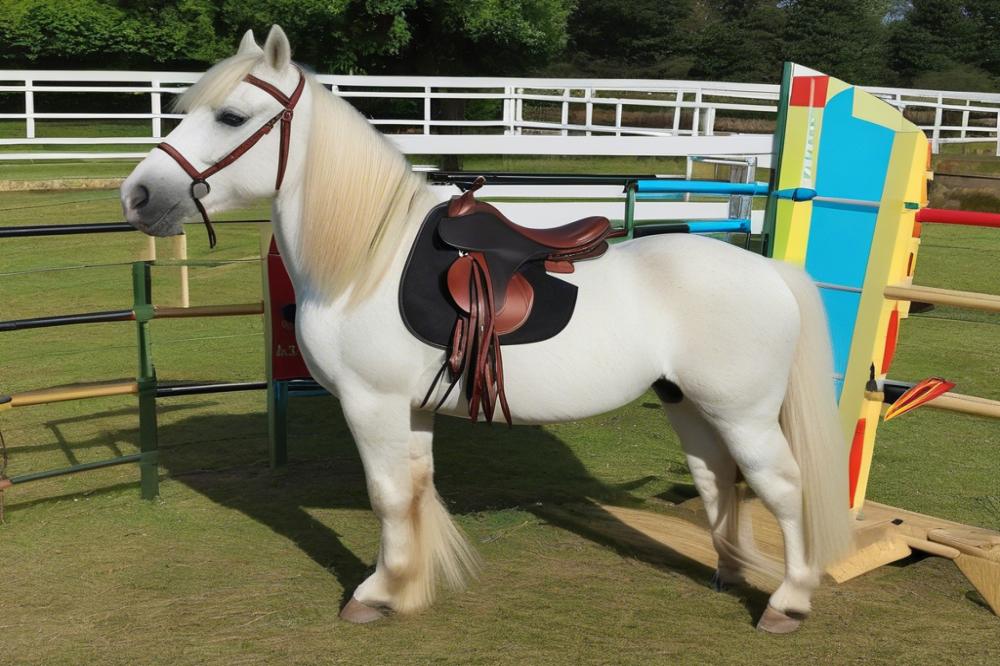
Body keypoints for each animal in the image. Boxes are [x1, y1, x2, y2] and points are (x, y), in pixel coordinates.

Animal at [119, 24, 852, 628]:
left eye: (232, 116)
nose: (138, 195)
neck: (366, 262)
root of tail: (770, 271)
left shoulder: (370, 403)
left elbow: (389, 497)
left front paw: (377, 593)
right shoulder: (408, 409)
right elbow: (414, 492)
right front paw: (408, 588)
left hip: (744, 414)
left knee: (782, 488)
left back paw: (788, 601)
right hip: (691, 407)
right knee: (718, 479)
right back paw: (729, 570)